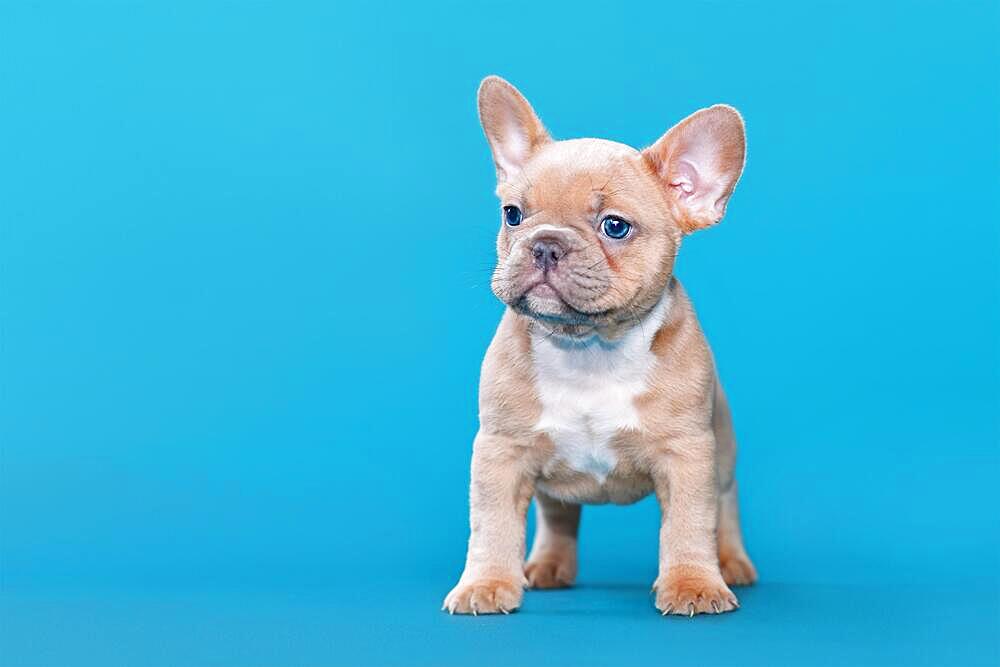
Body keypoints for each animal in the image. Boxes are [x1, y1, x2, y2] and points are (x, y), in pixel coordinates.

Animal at [446, 77, 756, 616]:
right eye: (513, 215)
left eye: (615, 226)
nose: (545, 243)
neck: (588, 349)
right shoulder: (501, 452)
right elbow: (492, 525)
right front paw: (485, 583)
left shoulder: (688, 455)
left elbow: (689, 524)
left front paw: (693, 584)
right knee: (557, 515)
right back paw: (548, 565)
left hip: (723, 452)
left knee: (726, 503)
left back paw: (731, 563)